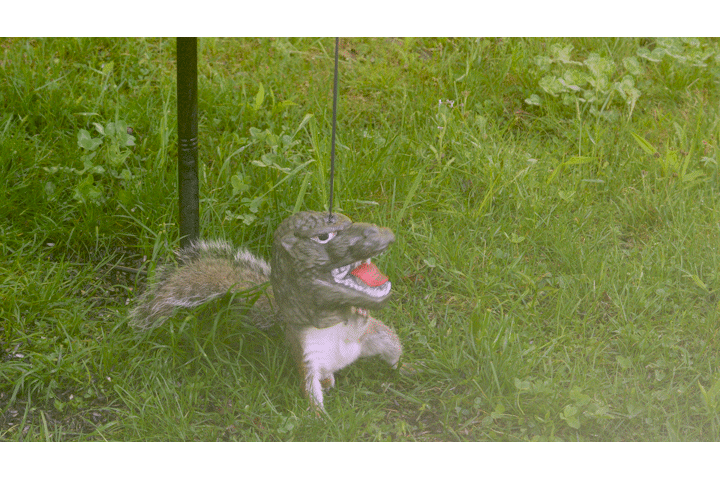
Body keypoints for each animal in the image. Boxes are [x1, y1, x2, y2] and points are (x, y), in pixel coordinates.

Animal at [130, 211, 403, 413]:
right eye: (324, 236)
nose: (382, 235)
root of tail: (346, 361)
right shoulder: (305, 348)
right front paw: (321, 418)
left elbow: (355, 316)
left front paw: (361, 310)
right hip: (315, 363)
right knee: (320, 381)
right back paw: (325, 395)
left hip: (381, 339)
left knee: (392, 353)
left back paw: (401, 369)